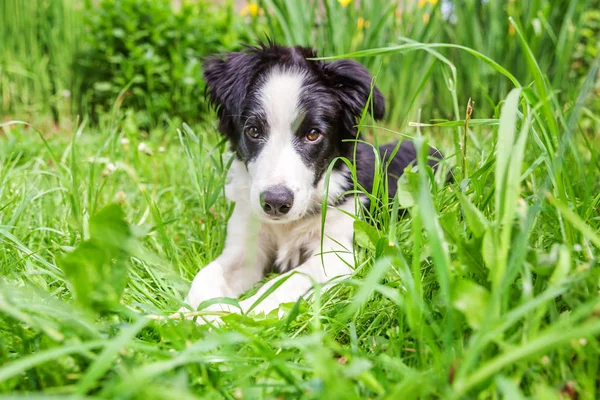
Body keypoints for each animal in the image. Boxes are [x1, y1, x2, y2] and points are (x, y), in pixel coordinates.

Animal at [182, 41, 440, 322]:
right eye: (253, 131)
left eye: (313, 134)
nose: (275, 203)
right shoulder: (245, 244)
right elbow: (204, 277)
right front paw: (194, 314)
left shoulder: (336, 253)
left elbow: (284, 282)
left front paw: (241, 313)